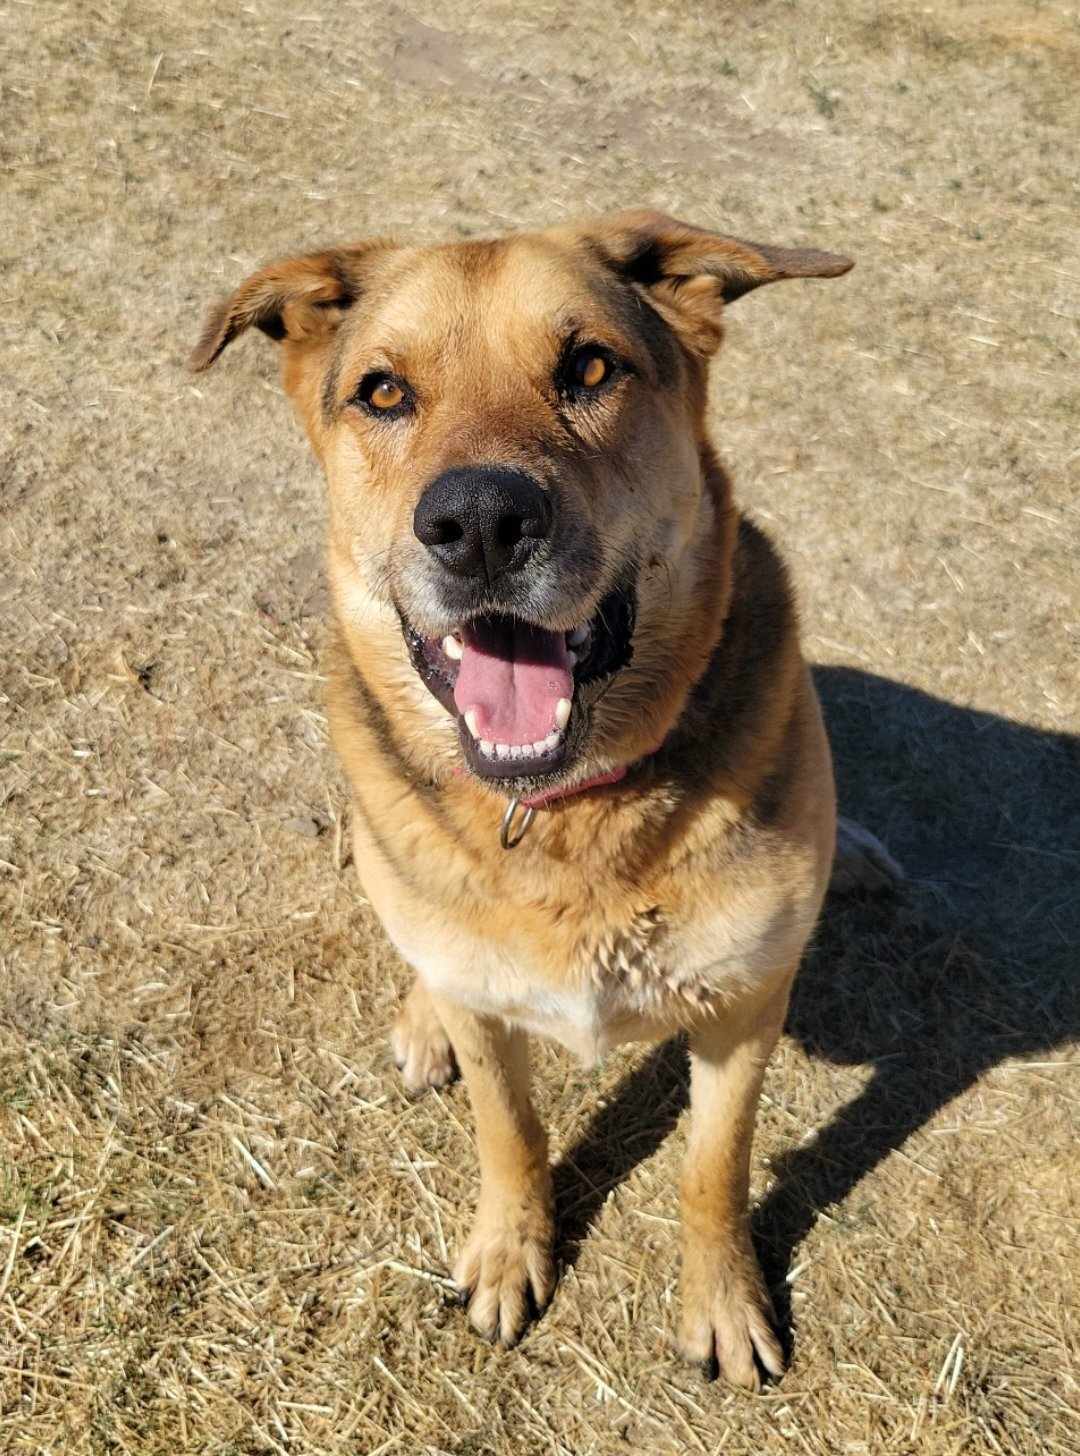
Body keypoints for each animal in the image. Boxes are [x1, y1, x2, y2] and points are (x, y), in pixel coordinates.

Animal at [190, 208, 855, 1386]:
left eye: (590, 367)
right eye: (383, 392)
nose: (482, 522)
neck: (569, 818)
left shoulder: (745, 1007)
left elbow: (714, 1165)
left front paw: (723, 1299)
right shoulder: (490, 1016)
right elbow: (512, 1132)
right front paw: (510, 1253)